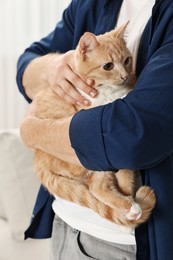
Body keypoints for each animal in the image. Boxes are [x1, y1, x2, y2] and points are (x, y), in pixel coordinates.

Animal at [31, 23, 157, 229]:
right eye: (108, 66)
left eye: (127, 60)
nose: (124, 76)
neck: (109, 93)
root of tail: (38, 159)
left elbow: (126, 173)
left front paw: (127, 191)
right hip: (90, 157)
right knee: (97, 188)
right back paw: (131, 207)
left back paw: (130, 204)